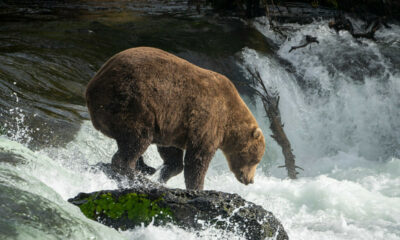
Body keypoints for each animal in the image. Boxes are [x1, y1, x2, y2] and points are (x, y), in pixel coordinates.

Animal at [85, 46, 266, 189]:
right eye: (255, 160)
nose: (250, 180)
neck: (230, 123)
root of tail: (92, 87)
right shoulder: (209, 120)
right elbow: (197, 159)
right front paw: (197, 187)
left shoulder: (173, 124)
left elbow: (172, 152)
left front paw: (165, 174)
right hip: (133, 101)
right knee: (138, 138)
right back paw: (134, 173)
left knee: (129, 141)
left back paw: (145, 168)